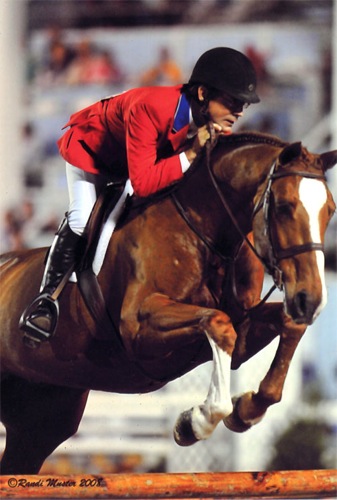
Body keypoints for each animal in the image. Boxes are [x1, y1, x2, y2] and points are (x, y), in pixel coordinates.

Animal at [0, 132, 336, 472]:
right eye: (283, 206)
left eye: (330, 211)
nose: (310, 300)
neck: (204, 230)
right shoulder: (137, 329)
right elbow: (218, 323)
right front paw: (195, 422)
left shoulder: (242, 329)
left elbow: (286, 327)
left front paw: (245, 410)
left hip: (42, 421)